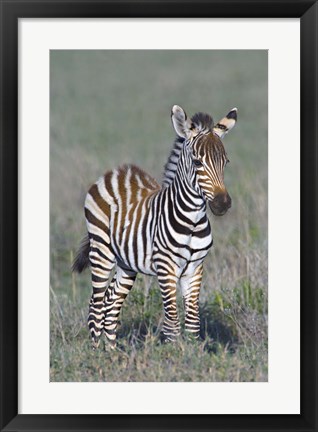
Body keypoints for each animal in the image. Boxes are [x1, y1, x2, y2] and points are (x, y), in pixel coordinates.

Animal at [72, 104, 236, 348]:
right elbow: (172, 321)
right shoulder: (166, 267)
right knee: (96, 304)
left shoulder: (195, 268)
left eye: (225, 162)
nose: (222, 204)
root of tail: (115, 172)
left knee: (111, 302)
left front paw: (193, 352)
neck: (192, 221)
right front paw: (174, 353)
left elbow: (193, 322)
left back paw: (111, 351)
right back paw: (96, 352)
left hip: (127, 263)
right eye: (198, 162)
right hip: (101, 251)